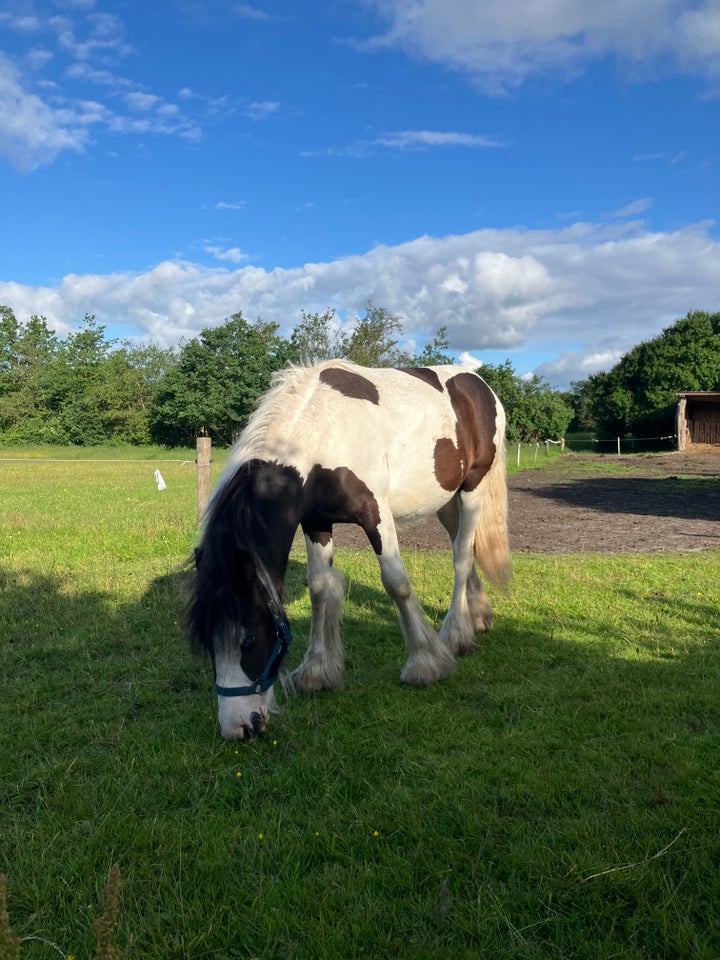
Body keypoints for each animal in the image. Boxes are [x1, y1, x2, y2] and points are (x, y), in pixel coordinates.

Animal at [187, 356, 512, 740]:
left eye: (249, 639)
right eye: (208, 643)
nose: (238, 727)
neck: (323, 432)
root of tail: (479, 383)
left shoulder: (376, 514)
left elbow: (396, 584)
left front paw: (426, 664)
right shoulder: (315, 521)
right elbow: (319, 589)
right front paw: (317, 672)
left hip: (474, 486)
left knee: (461, 554)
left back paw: (456, 634)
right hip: (446, 500)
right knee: (465, 546)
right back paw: (478, 617)